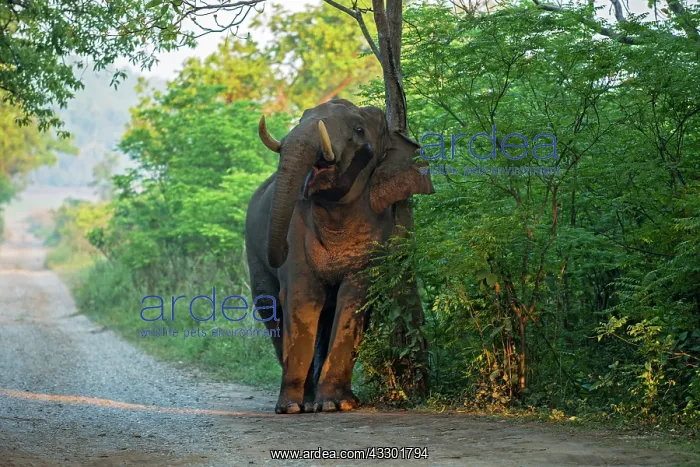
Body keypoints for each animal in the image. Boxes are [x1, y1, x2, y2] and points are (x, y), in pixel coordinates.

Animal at [244, 98, 434, 414]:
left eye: (358, 129)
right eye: (302, 117)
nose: (279, 252)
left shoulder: (379, 233)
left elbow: (354, 300)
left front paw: (337, 404)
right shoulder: (297, 234)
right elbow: (301, 297)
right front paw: (291, 408)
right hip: (252, 254)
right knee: (270, 309)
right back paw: (305, 401)